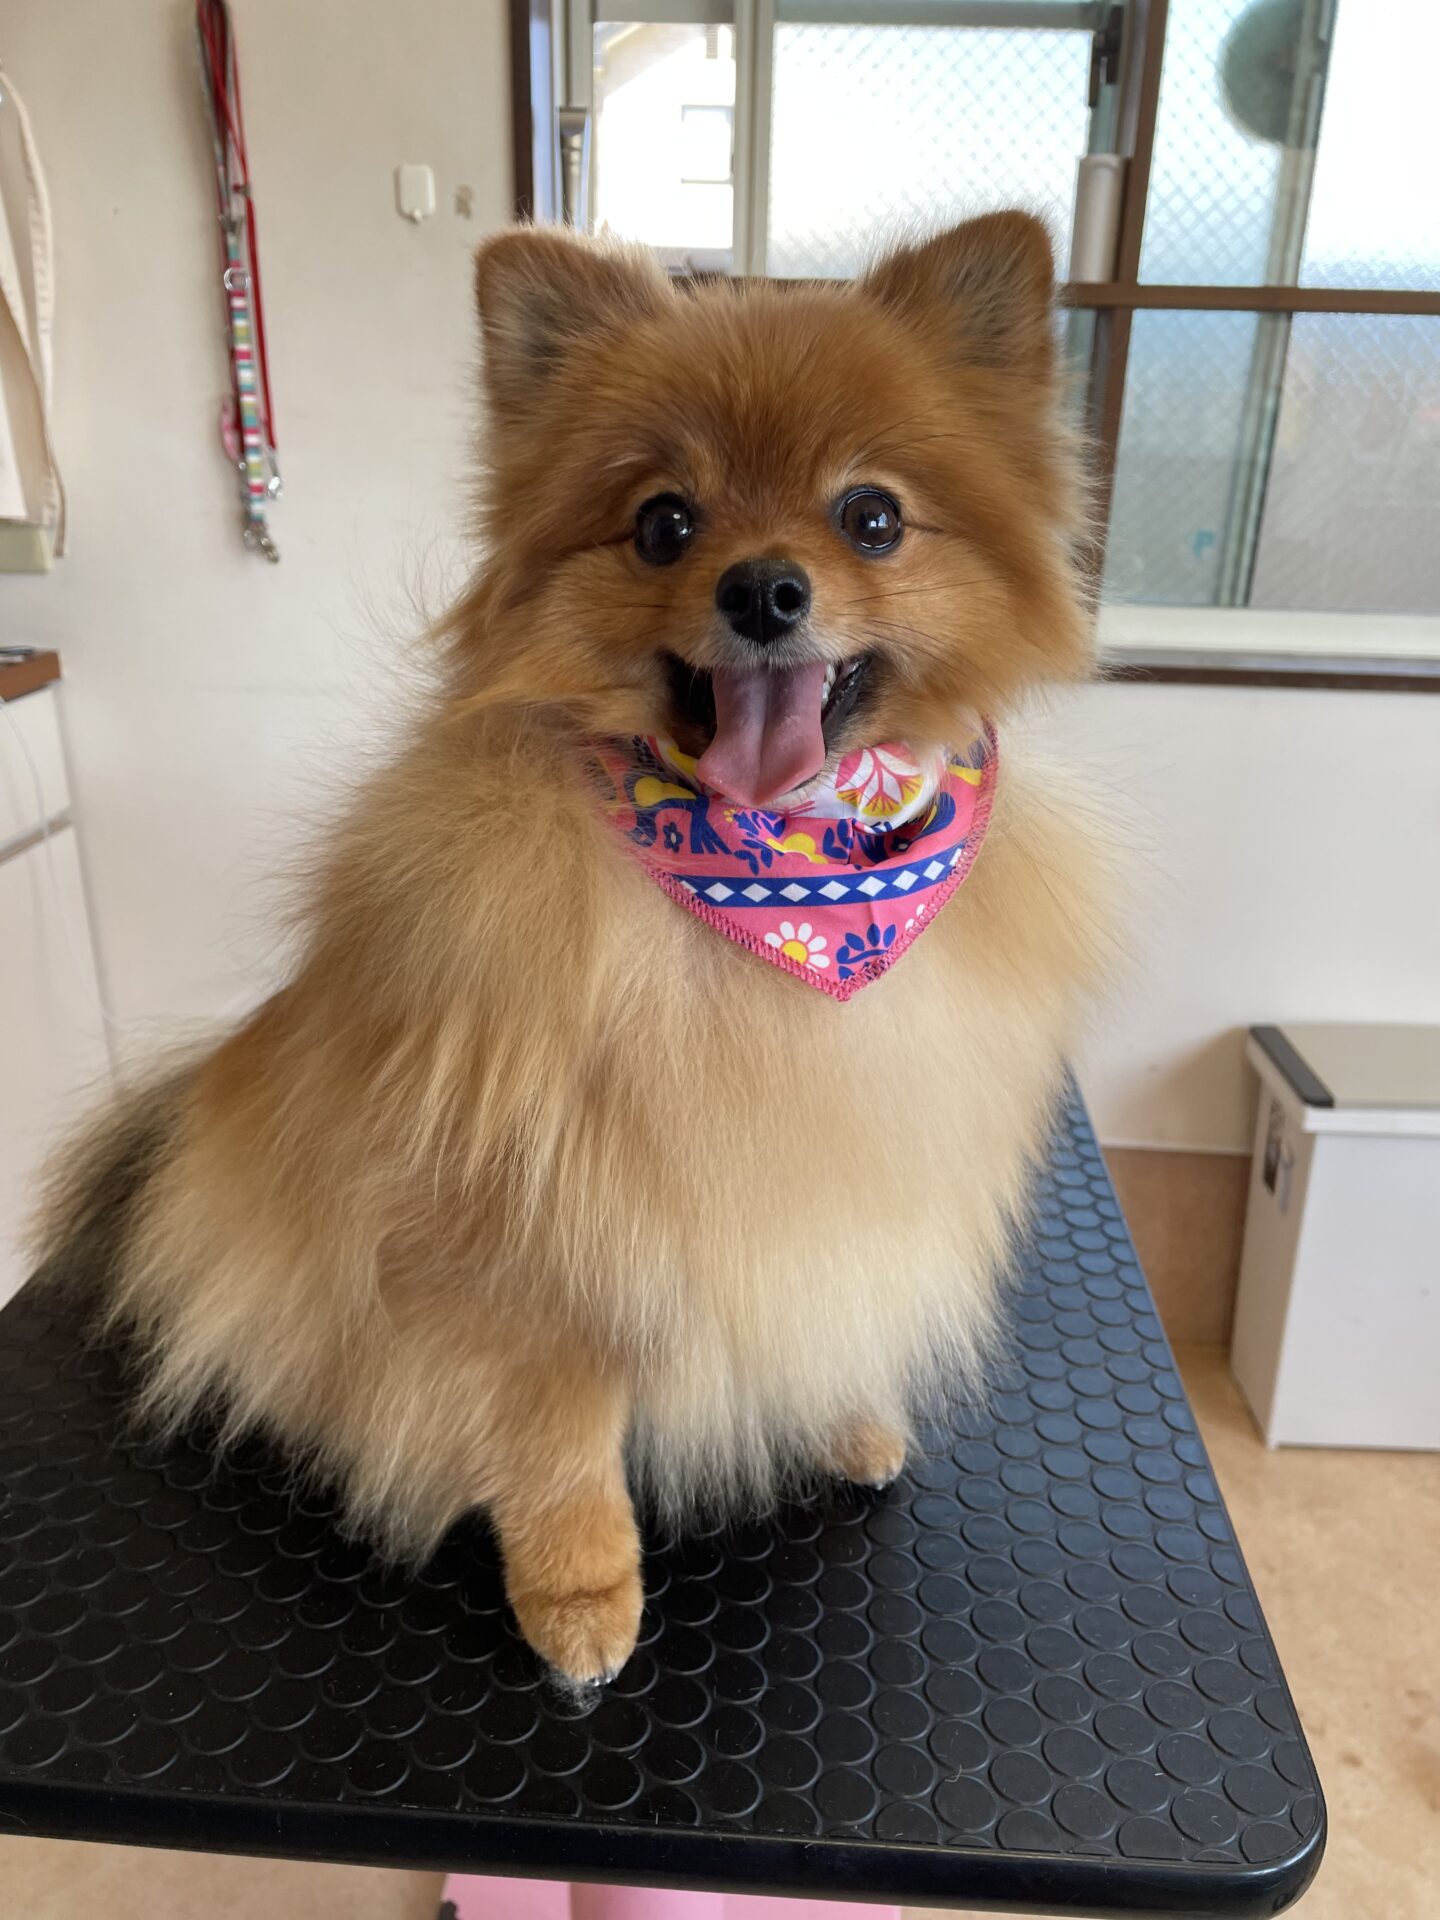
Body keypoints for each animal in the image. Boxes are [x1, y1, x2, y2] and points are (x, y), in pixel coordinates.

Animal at [37, 213, 1117, 1685]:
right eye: (665, 523)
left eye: (872, 517)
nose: (764, 589)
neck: (772, 892)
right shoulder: (512, 1251)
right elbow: (553, 1433)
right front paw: (580, 1593)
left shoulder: (835, 1168)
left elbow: (819, 1282)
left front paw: (842, 1414)